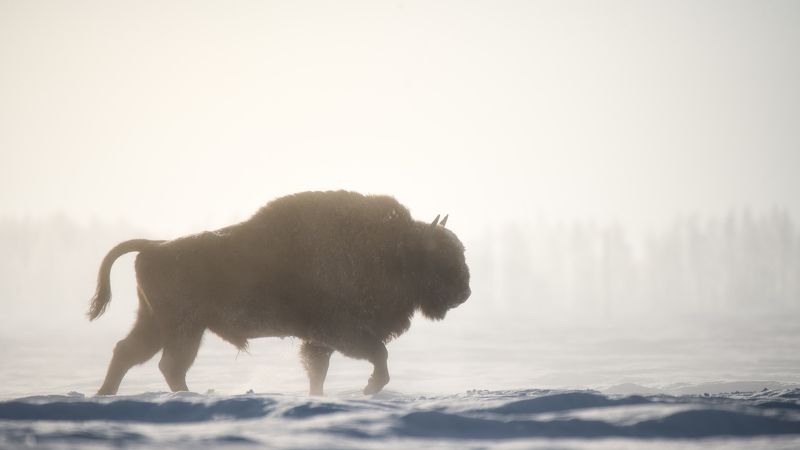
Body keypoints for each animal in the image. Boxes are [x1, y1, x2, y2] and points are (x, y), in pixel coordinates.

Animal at [89, 190, 471, 395]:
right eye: (440, 256)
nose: (465, 292)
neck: (395, 250)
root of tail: (154, 246)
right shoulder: (340, 332)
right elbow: (379, 355)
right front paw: (370, 387)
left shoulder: (319, 342)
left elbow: (319, 372)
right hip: (183, 329)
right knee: (167, 364)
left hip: (158, 324)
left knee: (130, 353)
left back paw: (106, 394)